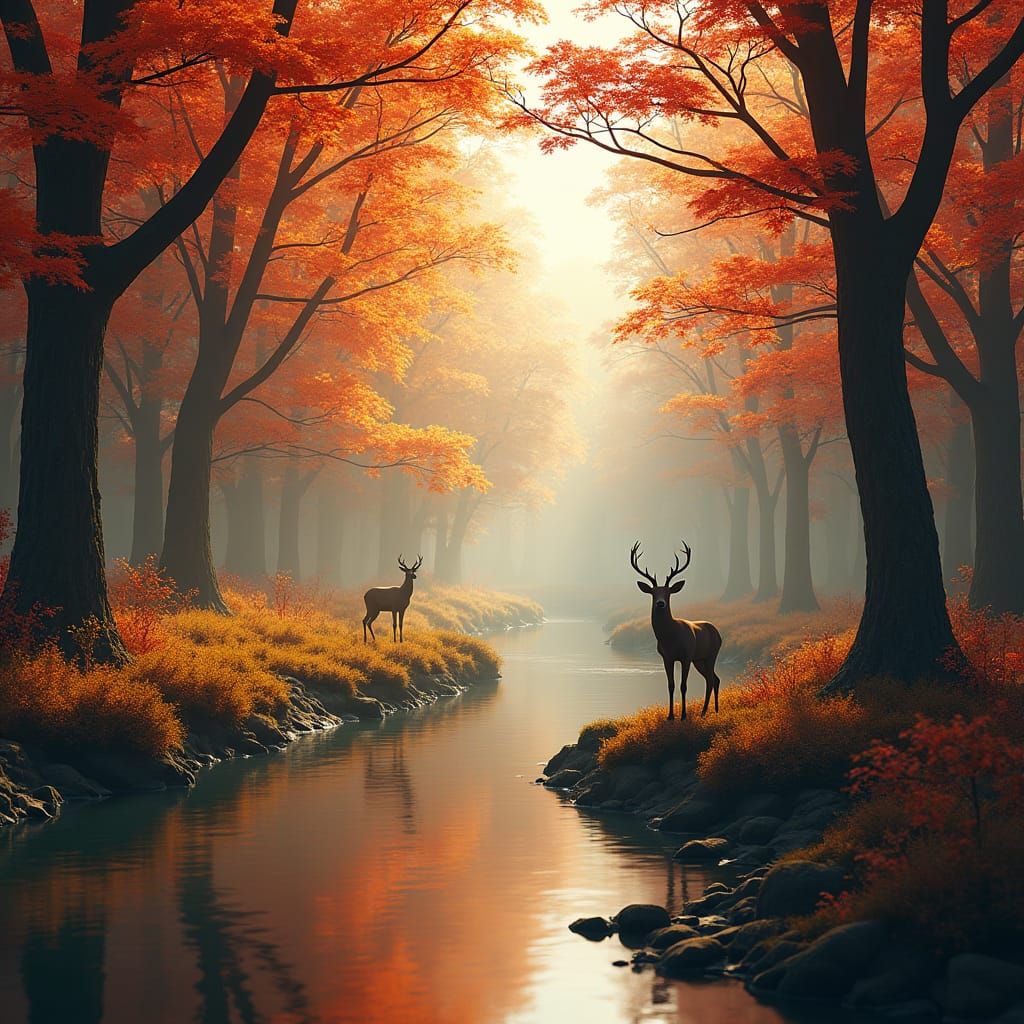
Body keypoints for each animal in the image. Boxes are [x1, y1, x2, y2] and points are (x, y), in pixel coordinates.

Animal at [630, 540, 723, 720]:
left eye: (668, 593)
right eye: (653, 593)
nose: (660, 603)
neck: (670, 638)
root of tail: (718, 633)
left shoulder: (686, 655)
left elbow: (683, 686)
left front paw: (684, 715)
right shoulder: (666, 657)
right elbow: (671, 685)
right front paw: (670, 716)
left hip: (711, 654)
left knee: (710, 679)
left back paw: (704, 712)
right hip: (699, 659)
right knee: (714, 678)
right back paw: (713, 710)